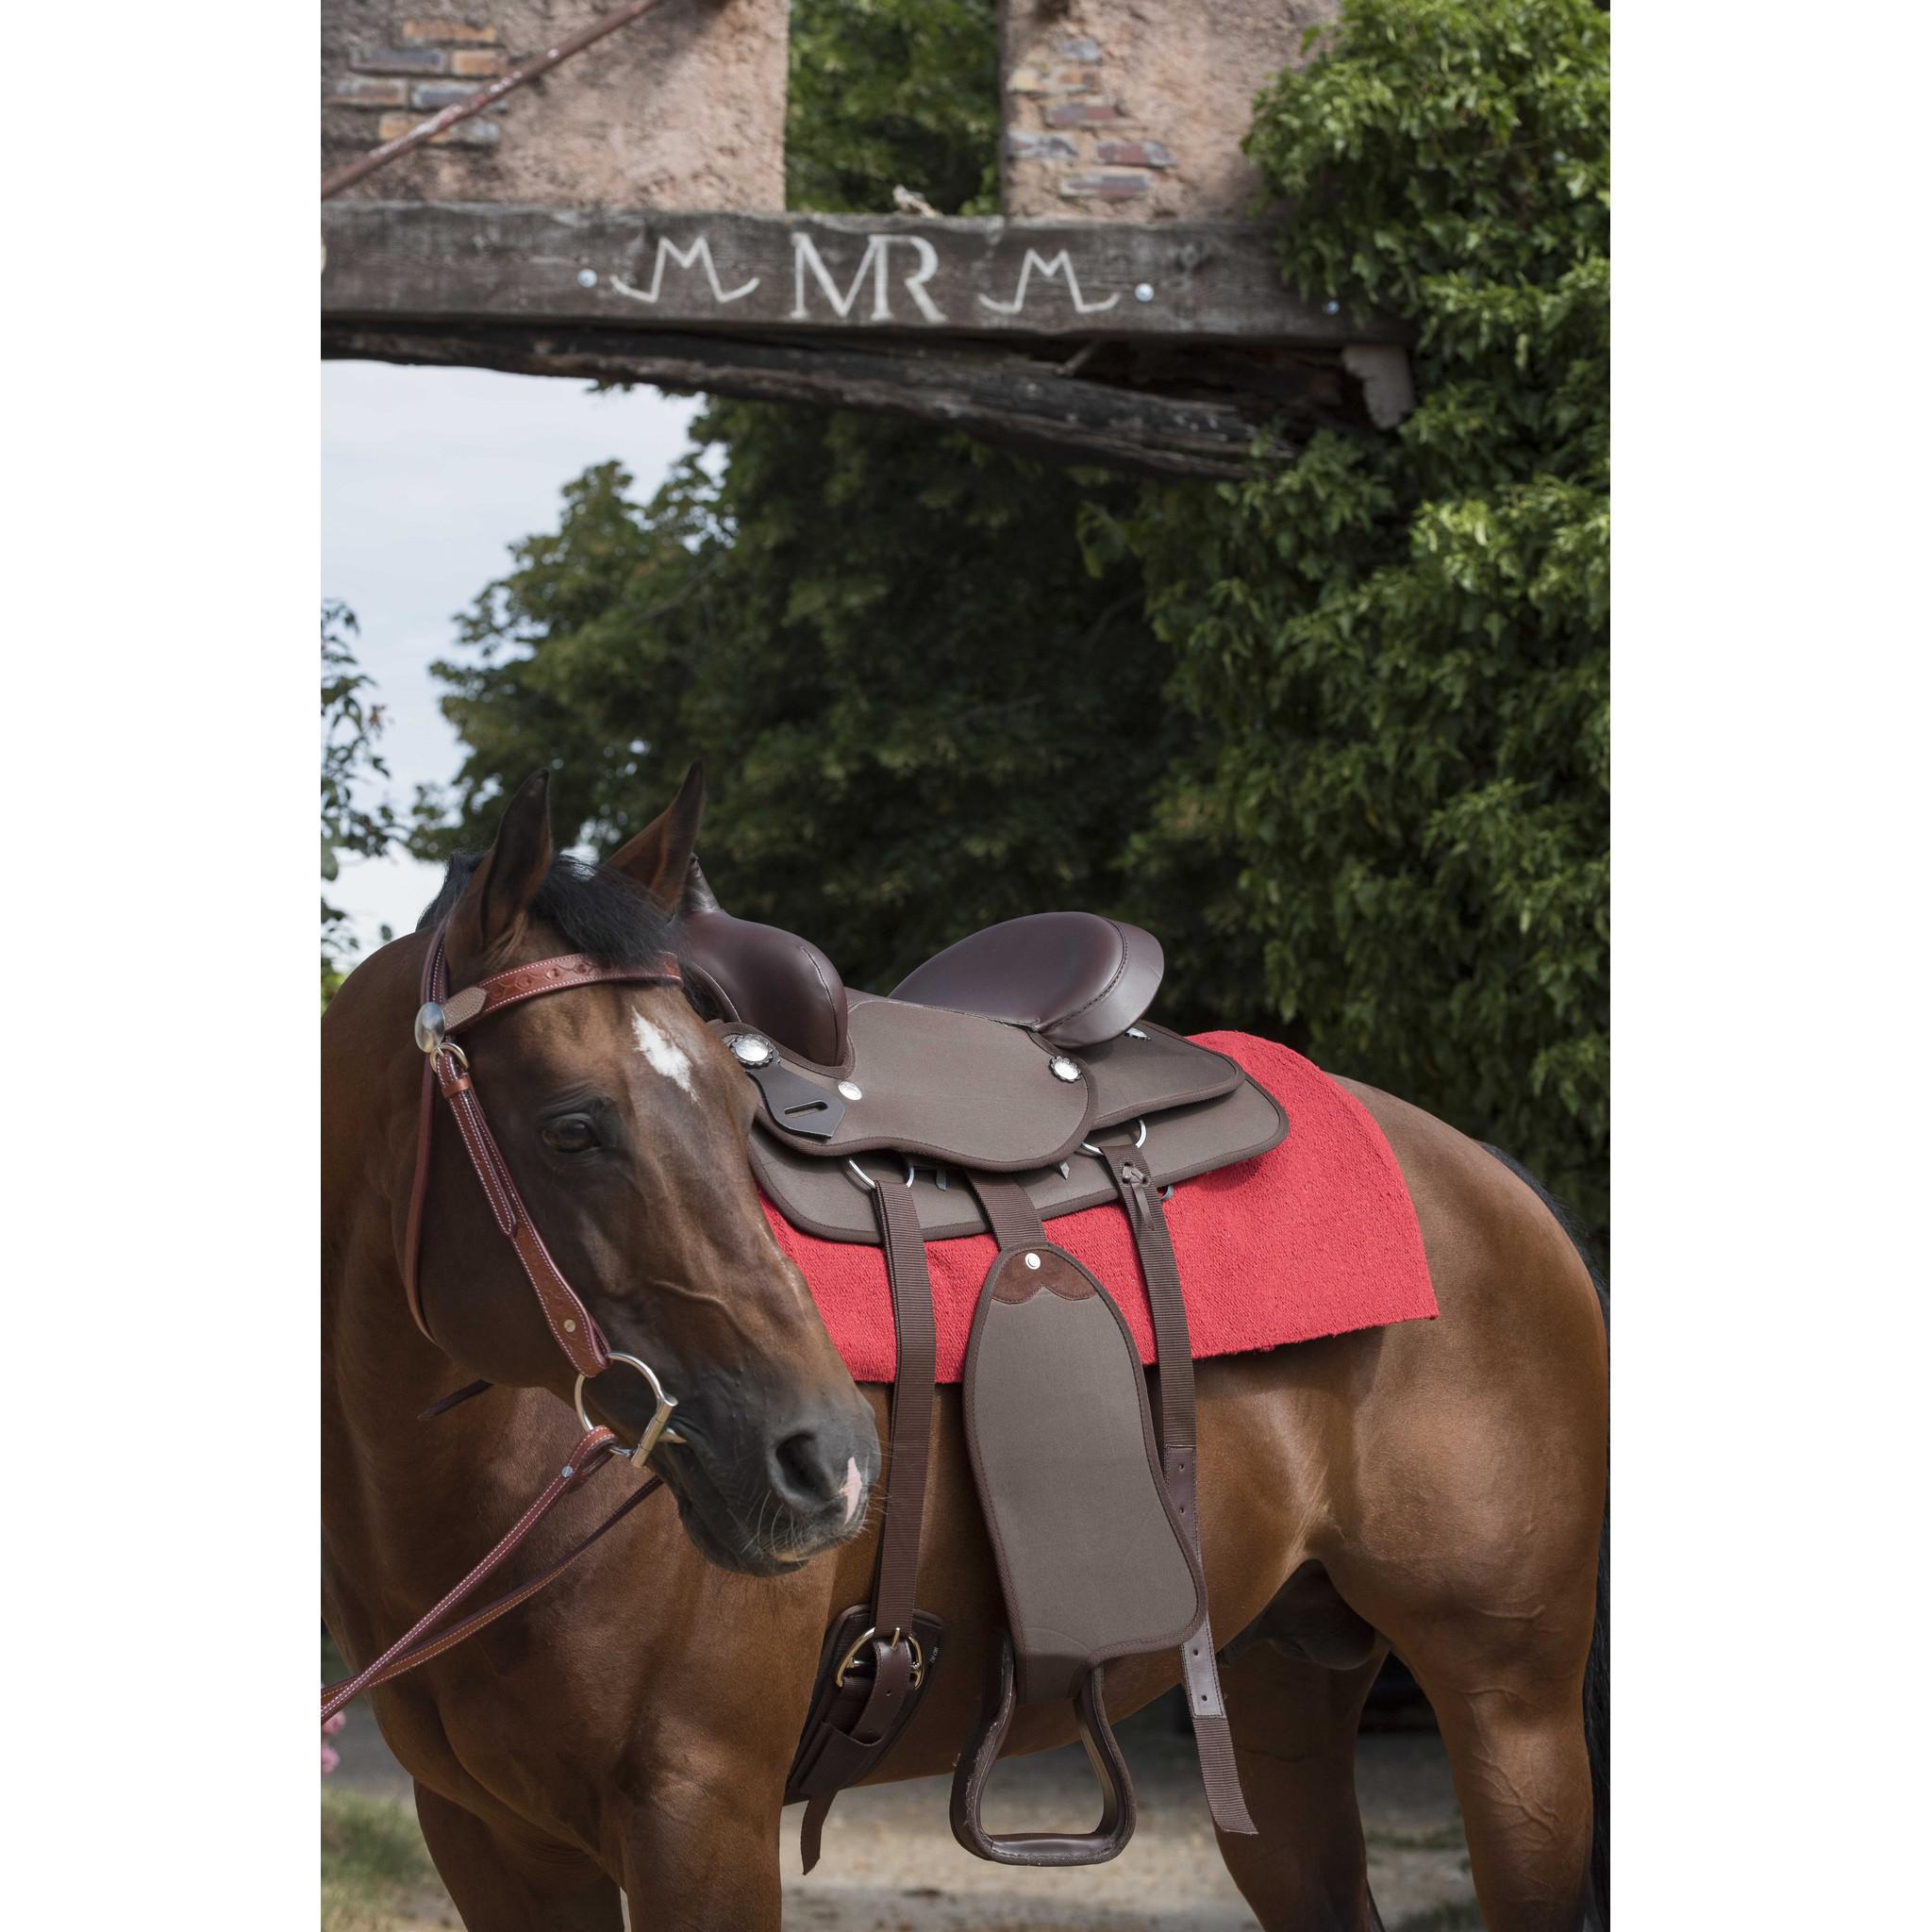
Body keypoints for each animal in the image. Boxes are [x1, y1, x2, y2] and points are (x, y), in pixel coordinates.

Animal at [322, 768, 1609, 1932]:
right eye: (573, 1127)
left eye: (741, 1121)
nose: (827, 1459)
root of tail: (1487, 1173)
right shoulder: (491, 1839)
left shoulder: (699, 1810)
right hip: (1283, 1683)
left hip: (1512, 1709)